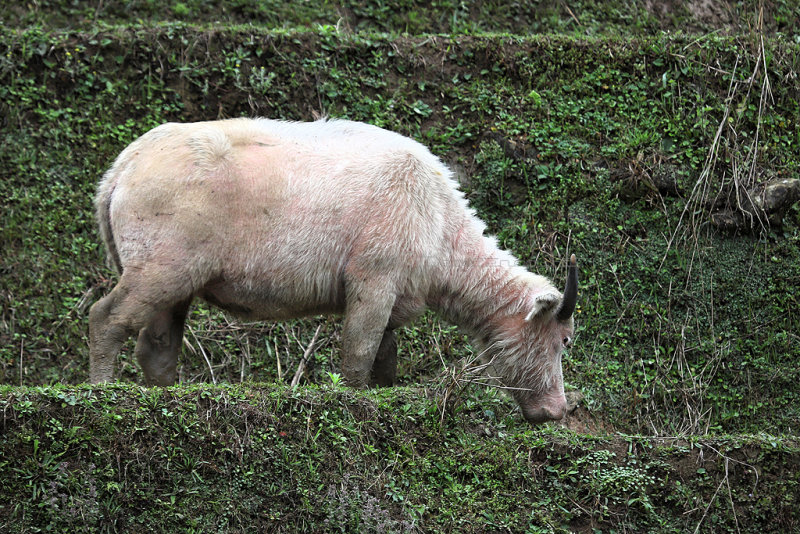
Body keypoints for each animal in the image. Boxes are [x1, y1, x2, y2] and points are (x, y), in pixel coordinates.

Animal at [90, 119, 580, 426]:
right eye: (563, 341)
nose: (556, 410)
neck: (438, 222)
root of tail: (123, 167)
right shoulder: (373, 281)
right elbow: (357, 359)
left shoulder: (390, 303)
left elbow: (384, 363)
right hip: (160, 269)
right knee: (105, 319)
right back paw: (100, 391)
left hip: (174, 282)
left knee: (157, 348)